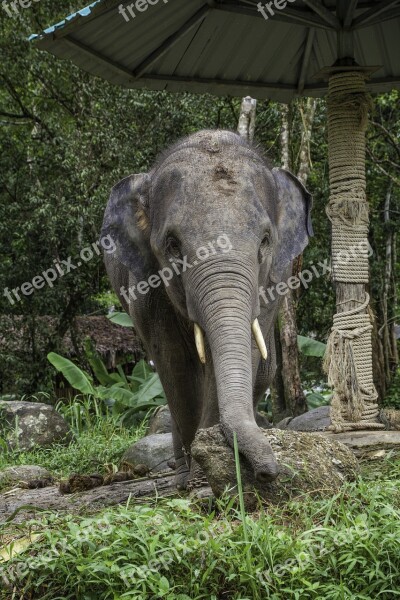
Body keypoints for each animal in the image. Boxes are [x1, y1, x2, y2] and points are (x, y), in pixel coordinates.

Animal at [101, 129, 312, 490]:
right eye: (172, 245)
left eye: (265, 241)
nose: (269, 472)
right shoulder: (146, 289)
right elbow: (175, 365)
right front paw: (196, 478)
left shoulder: (272, 282)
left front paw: (211, 469)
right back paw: (180, 474)